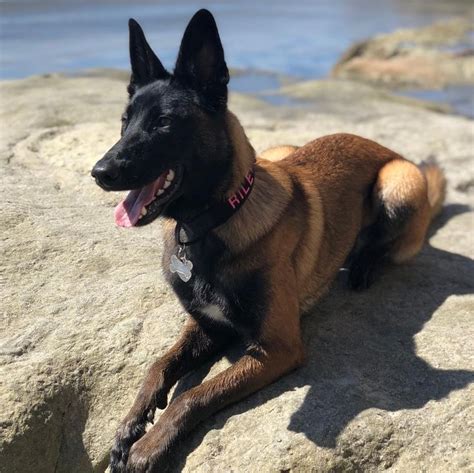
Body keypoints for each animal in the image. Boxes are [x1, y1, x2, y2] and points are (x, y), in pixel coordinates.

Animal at [90, 8, 446, 472]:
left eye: (163, 123)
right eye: (124, 121)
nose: (99, 172)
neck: (212, 224)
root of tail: (382, 145)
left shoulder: (277, 347)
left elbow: (193, 395)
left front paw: (150, 447)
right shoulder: (207, 325)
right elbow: (158, 366)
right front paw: (131, 424)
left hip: (397, 183)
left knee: (385, 243)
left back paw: (364, 263)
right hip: (283, 150)